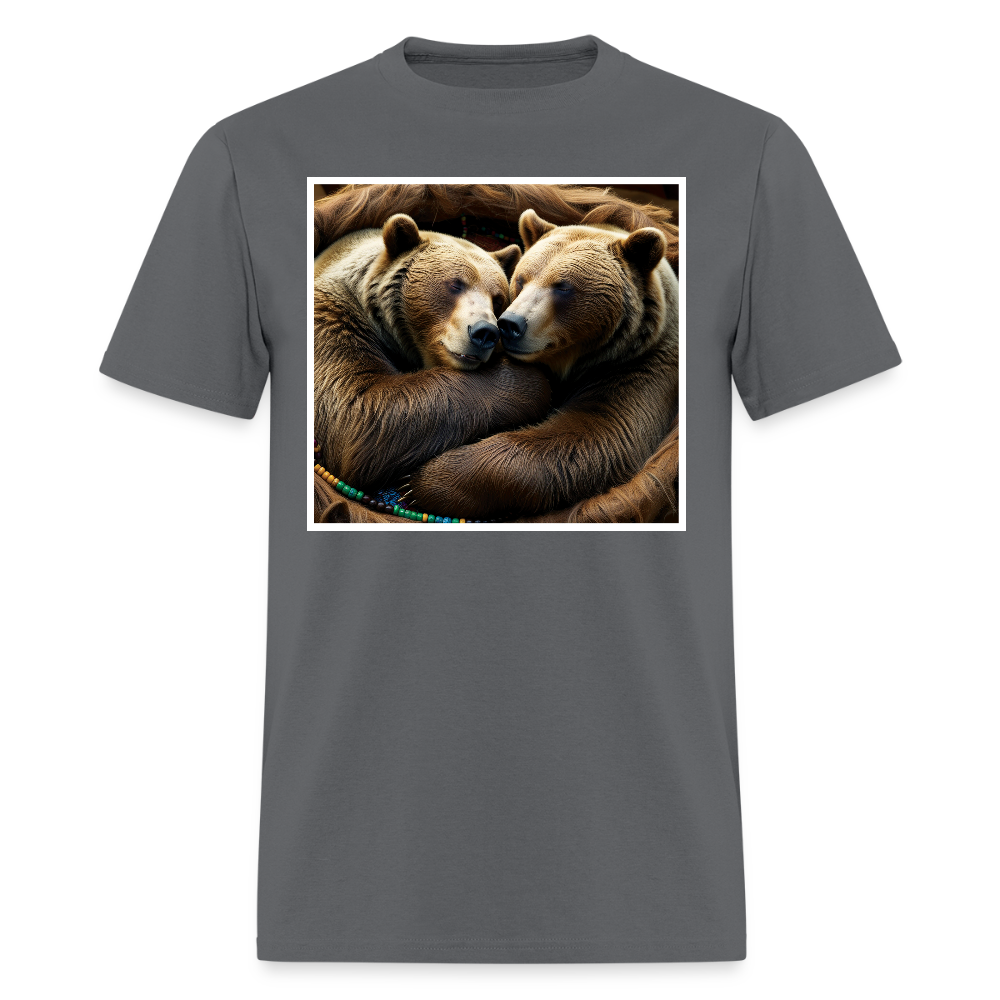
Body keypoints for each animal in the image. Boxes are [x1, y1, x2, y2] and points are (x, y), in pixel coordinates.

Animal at [314, 213, 552, 495]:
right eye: (455, 285)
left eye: (497, 298)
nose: (484, 332)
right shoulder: (334, 322)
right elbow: (361, 412)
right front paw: (532, 380)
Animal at [403, 208, 679, 519]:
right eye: (521, 279)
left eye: (563, 287)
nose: (510, 324)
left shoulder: (636, 371)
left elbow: (597, 437)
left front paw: (426, 479)